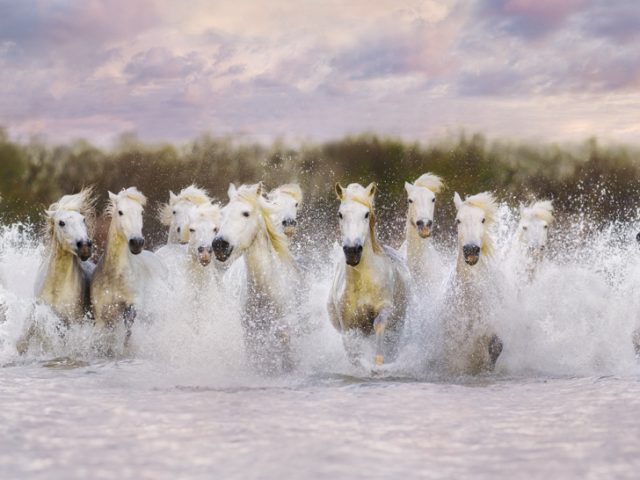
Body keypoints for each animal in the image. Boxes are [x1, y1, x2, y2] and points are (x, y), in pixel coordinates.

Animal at [91, 187, 162, 353]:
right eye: (120, 212)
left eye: (141, 212)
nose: (137, 242)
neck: (115, 276)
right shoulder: (101, 316)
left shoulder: (132, 304)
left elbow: (128, 333)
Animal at [212, 183, 299, 373]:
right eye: (222, 213)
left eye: (246, 213)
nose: (219, 245)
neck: (264, 291)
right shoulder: (251, 337)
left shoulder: (285, 332)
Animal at [327, 182, 410, 366]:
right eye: (340, 214)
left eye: (366, 214)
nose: (352, 251)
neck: (364, 281)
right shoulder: (348, 325)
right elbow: (353, 352)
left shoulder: (385, 307)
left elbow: (379, 324)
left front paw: (378, 361)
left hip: (399, 326)